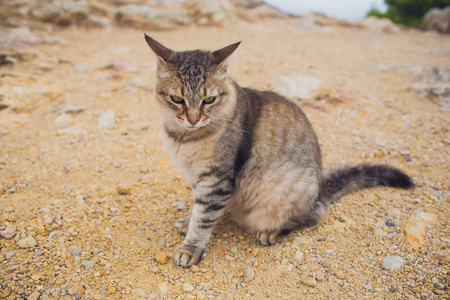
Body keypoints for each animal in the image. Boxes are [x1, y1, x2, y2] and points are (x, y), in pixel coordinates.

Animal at [145, 34, 414, 268]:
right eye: (177, 100)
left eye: (208, 100)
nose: (193, 119)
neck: (184, 137)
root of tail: (319, 191)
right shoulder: (197, 178)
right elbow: (197, 209)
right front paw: (188, 222)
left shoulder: (216, 179)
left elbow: (204, 218)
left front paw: (190, 248)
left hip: (284, 193)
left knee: (314, 215)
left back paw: (272, 231)